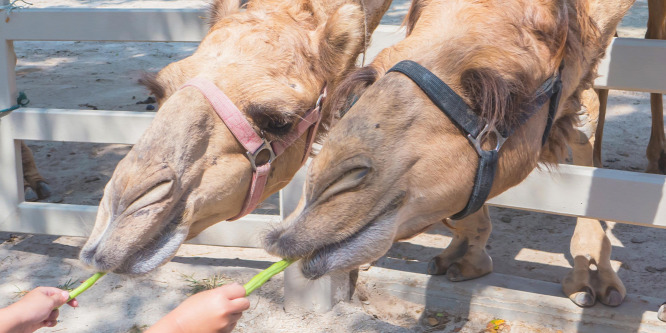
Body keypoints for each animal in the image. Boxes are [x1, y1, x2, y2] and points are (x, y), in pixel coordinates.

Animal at [264, 0, 632, 310]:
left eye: (500, 95)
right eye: (371, 74)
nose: (317, 196)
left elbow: (585, 122)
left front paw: (591, 277)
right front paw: (464, 258)